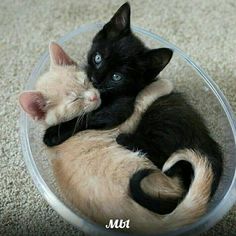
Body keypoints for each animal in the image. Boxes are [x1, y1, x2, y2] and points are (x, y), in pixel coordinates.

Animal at [18, 42, 214, 234]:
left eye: (84, 81)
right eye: (74, 101)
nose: (94, 95)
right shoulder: (120, 124)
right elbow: (141, 99)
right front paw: (162, 85)